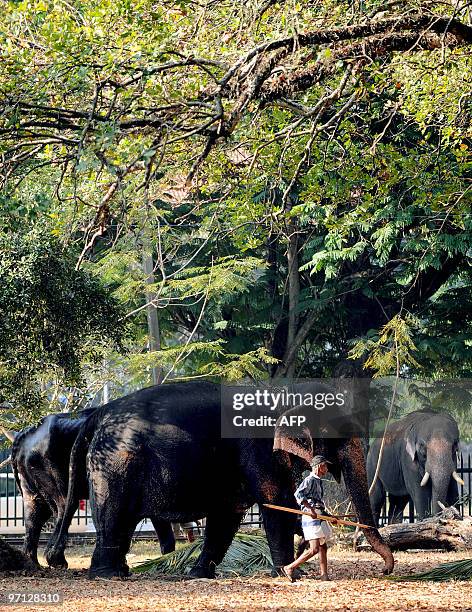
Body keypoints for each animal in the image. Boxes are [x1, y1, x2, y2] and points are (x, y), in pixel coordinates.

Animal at [7, 408, 175, 568]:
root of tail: (22, 436)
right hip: (47, 466)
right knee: (63, 506)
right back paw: (57, 561)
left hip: (29, 472)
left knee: (35, 512)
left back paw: (33, 562)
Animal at [48, 382, 394, 580]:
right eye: (339, 435)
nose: (387, 569)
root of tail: (97, 414)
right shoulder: (257, 447)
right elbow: (275, 503)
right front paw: (286, 573)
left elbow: (228, 516)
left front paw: (199, 575)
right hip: (115, 465)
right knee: (114, 516)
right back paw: (109, 576)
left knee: (122, 521)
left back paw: (119, 571)